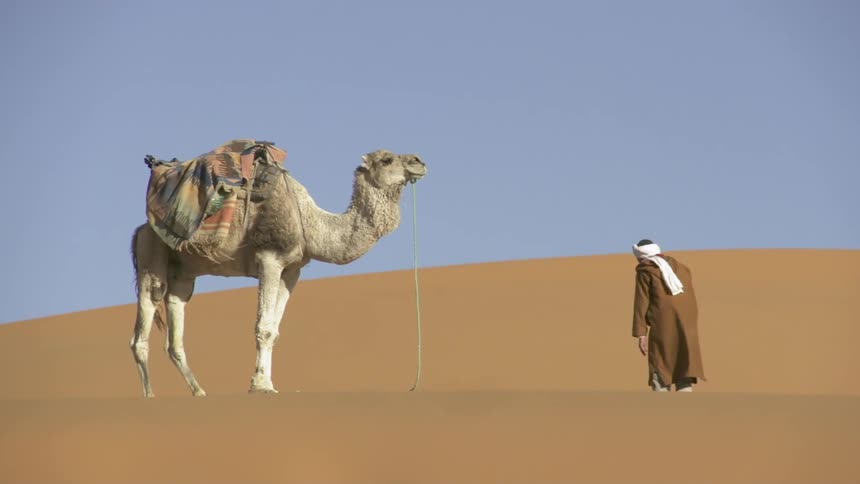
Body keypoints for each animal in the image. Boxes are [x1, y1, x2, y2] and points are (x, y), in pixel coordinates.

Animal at [129, 148, 427, 397]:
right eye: (387, 159)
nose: (419, 162)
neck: (307, 222)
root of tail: (140, 229)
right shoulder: (269, 259)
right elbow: (262, 327)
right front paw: (260, 385)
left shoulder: (292, 271)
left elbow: (274, 330)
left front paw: (268, 383)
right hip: (151, 257)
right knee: (143, 325)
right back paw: (150, 396)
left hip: (183, 274)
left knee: (175, 330)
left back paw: (199, 392)